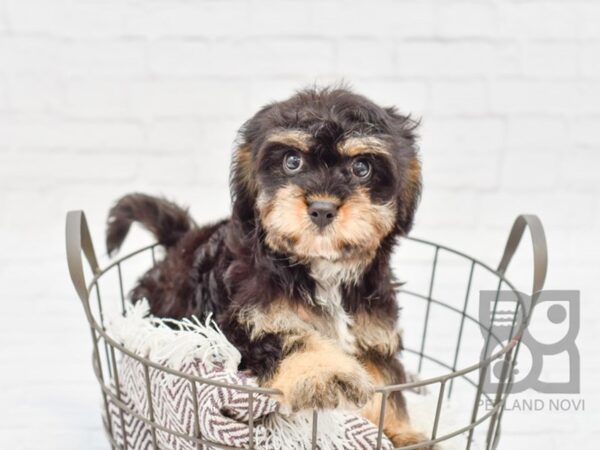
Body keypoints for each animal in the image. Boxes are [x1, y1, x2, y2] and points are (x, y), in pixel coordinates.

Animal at [106, 86, 426, 448]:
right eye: (292, 161)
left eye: (362, 167)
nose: (322, 208)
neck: (319, 269)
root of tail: (182, 241)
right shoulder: (249, 319)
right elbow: (289, 337)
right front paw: (325, 372)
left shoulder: (373, 332)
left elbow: (386, 382)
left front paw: (401, 433)